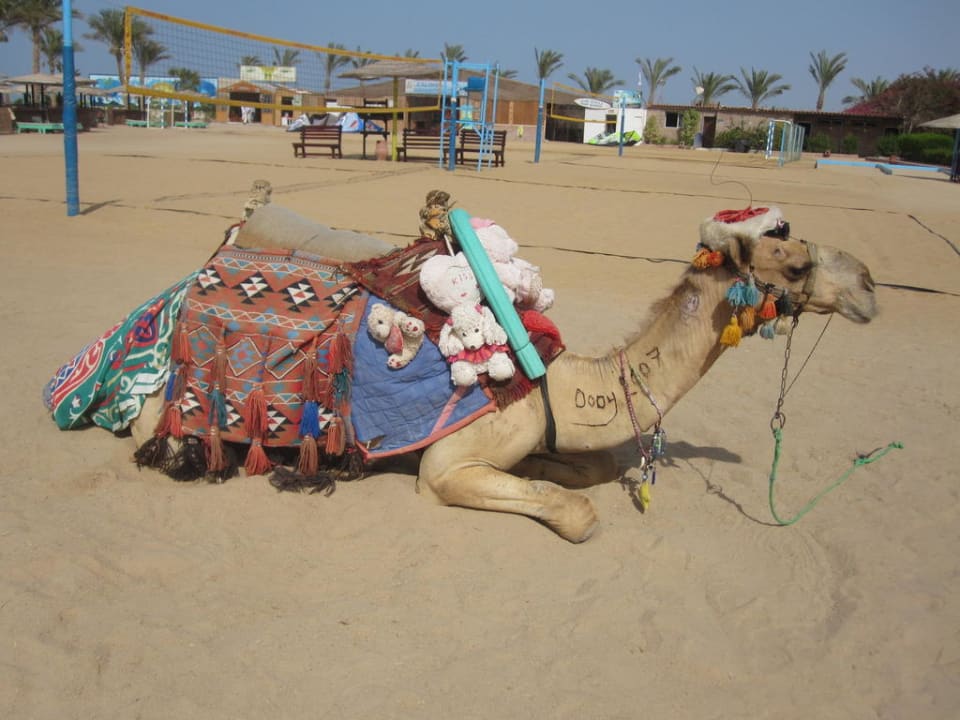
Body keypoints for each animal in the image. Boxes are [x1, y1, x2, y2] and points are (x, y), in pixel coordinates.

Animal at [128, 198, 876, 543]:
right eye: (795, 262)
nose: (870, 284)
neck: (562, 384)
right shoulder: (446, 464)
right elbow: (577, 512)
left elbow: (589, 468)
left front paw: (556, 466)